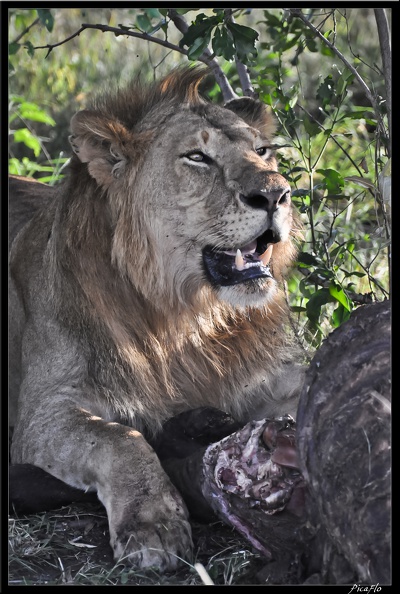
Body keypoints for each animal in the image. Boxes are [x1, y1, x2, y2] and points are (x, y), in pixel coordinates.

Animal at [8, 67, 304, 572]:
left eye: (262, 151)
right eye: (197, 157)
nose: (277, 193)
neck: (180, 318)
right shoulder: (42, 412)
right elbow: (119, 438)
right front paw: (153, 524)